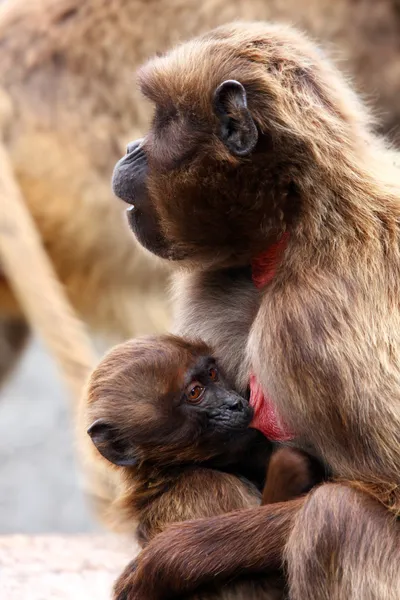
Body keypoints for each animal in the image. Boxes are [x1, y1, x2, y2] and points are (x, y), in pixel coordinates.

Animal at [111, 21, 400, 600]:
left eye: (161, 121)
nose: (129, 147)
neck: (301, 228)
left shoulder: (309, 326)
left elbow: (386, 493)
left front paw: (172, 558)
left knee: (336, 518)